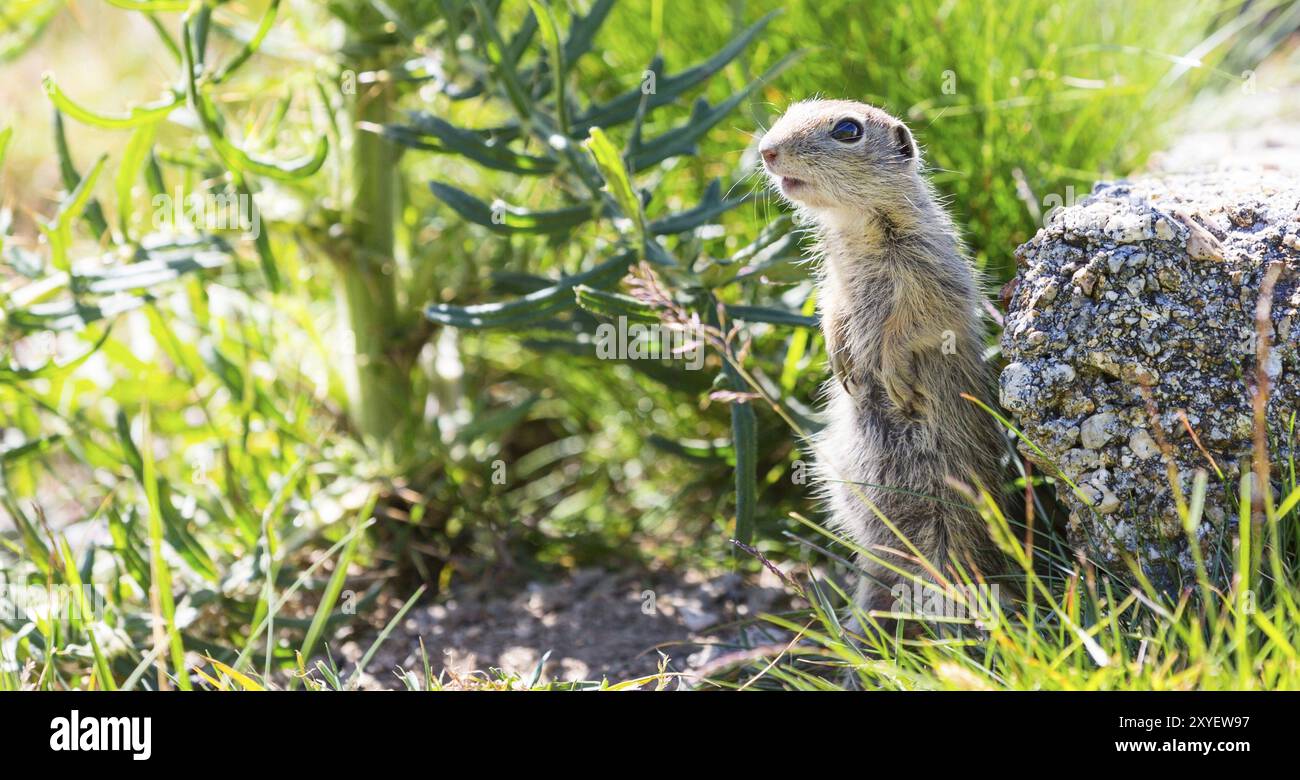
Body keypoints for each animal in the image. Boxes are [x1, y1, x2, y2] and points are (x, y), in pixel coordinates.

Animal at [759, 100, 1007, 621]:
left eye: (847, 130)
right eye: (792, 109)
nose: (766, 150)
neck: (856, 226)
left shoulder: (930, 275)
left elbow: (910, 327)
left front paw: (892, 377)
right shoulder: (833, 281)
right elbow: (831, 309)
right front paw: (840, 361)